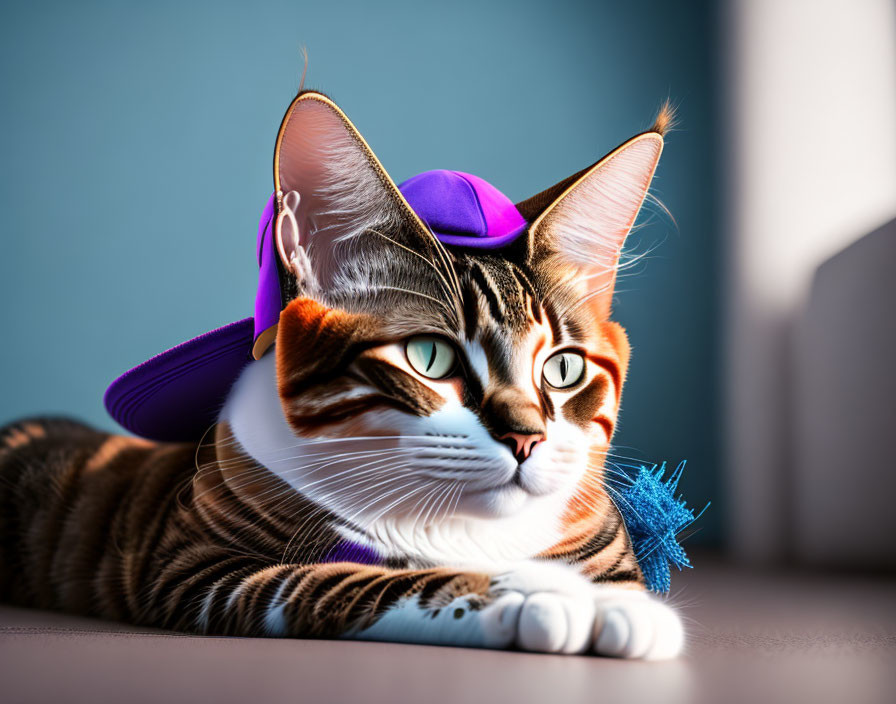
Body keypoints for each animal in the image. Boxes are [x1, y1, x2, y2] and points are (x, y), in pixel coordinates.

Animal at [0, 91, 684, 656]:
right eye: (429, 356)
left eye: (563, 367)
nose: (526, 438)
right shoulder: (192, 563)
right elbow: (356, 579)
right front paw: (533, 593)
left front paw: (616, 605)